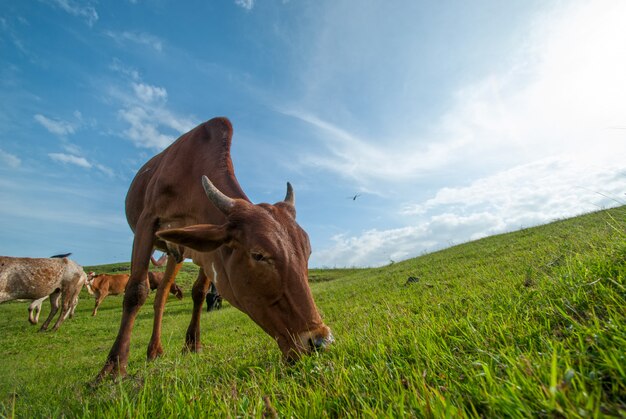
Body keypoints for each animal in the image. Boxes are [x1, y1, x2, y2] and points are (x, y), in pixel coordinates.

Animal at [96, 115, 332, 380]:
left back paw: (156, 349)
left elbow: (199, 292)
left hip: (176, 254)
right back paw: (152, 351)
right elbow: (136, 291)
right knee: (157, 294)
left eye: (307, 253)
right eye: (258, 255)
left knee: (163, 293)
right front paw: (113, 367)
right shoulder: (147, 223)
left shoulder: (206, 248)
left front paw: (193, 344)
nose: (319, 341)